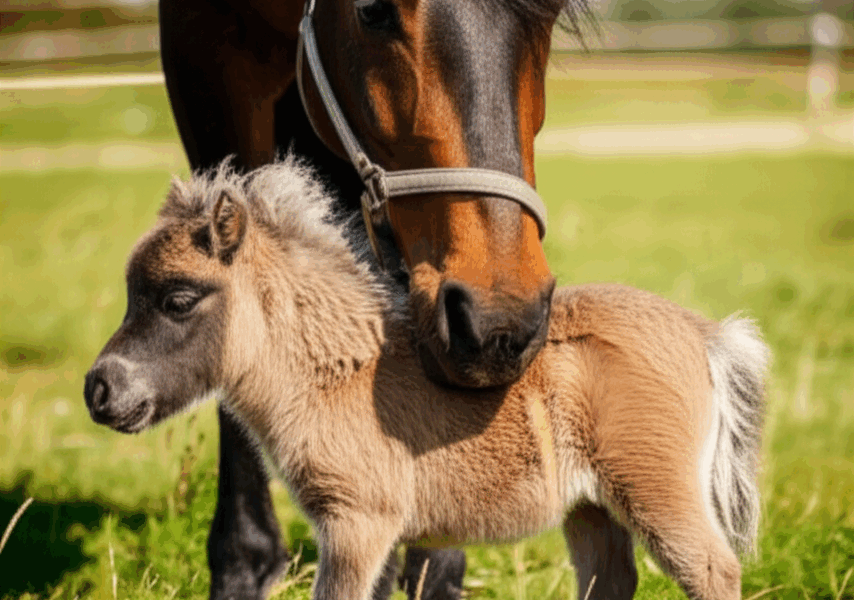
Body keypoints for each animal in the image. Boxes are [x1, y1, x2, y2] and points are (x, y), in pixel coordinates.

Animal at [84, 158, 768, 600]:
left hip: (656, 490)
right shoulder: (376, 528)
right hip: (592, 506)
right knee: (610, 581)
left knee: (714, 572)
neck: (334, 375)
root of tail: (707, 335)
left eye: (177, 299)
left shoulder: (355, 521)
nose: (99, 390)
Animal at [157, 0, 592, 596]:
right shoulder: (205, 67)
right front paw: (244, 563)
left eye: (552, 14)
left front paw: (433, 562)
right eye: (371, 11)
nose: (499, 325)